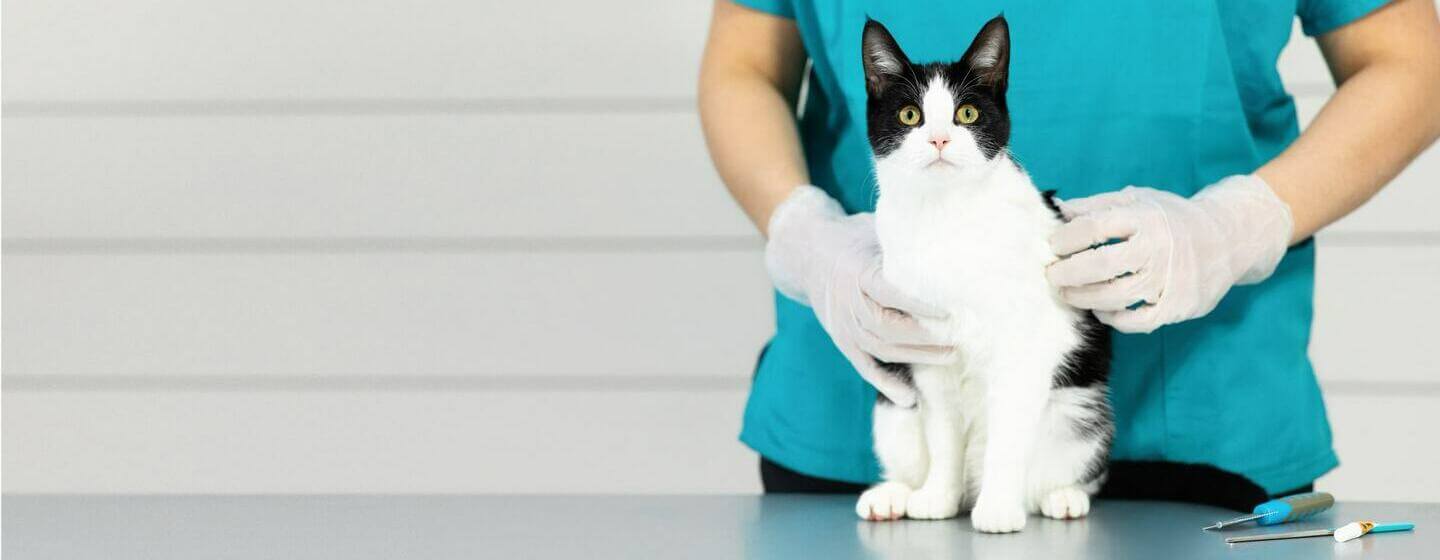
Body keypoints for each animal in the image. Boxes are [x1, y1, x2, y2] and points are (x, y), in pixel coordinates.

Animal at [852, 15, 1111, 532]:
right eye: (909, 116)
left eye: (967, 114)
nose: (939, 139)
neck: (948, 216)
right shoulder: (928, 355)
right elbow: (943, 435)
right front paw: (937, 497)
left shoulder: (1024, 347)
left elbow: (1008, 437)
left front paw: (998, 510)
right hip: (894, 412)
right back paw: (895, 495)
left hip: (1078, 411)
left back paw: (1059, 497)